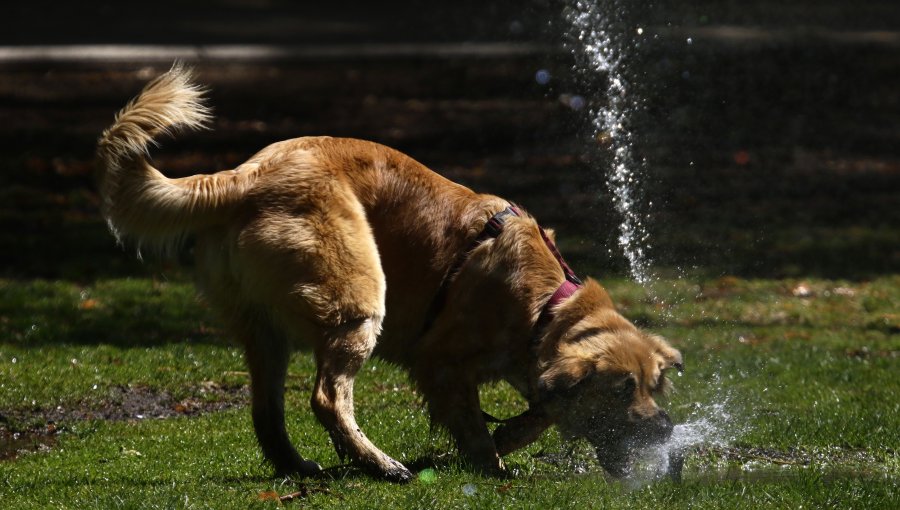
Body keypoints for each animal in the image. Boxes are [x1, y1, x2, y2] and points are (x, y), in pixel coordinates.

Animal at [96, 64, 684, 482]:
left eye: (653, 385)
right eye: (621, 389)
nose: (666, 428)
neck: (544, 306)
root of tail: (244, 174)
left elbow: (539, 412)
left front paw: (509, 437)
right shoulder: (440, 363)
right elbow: (477, 423)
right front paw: (490, 465)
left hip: (264, 331)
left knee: (267, 411)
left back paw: (299, 467)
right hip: (357, 300)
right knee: (327, 398)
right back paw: (380, 465)